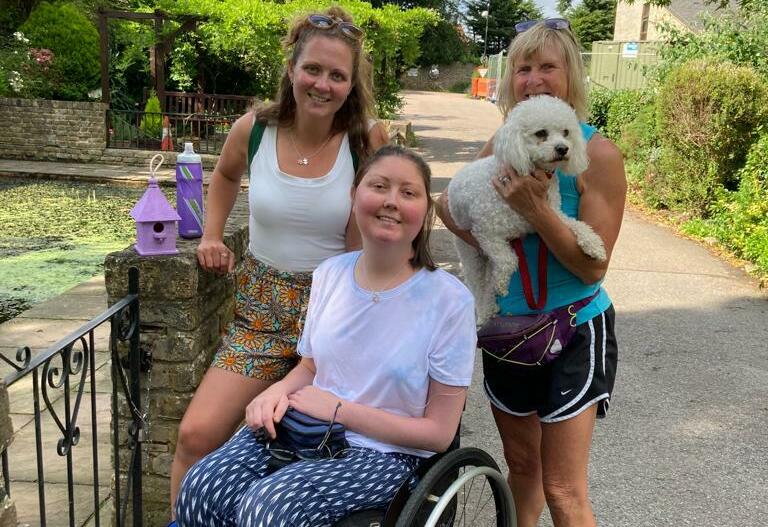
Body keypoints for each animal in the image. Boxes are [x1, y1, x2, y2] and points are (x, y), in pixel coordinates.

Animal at [450, 96, 608, 324]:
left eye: (566, 132)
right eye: (541, 133)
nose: (563, 148)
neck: (531, 174)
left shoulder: (551, 215)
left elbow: (578, 224)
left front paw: (594, 245)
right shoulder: (486, 232)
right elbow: (508, 260)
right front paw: (501, 284)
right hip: (470, 251)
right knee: (478, 285)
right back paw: (485, 311)